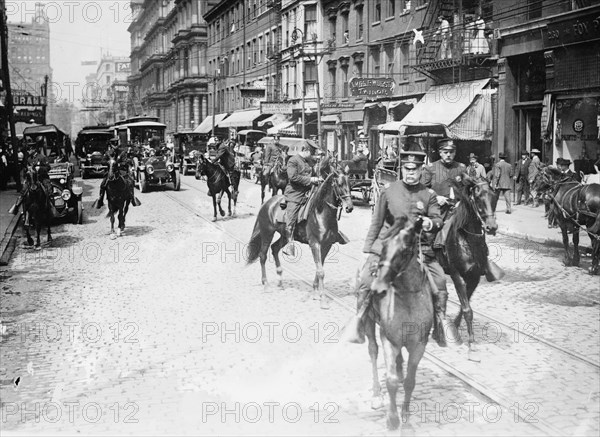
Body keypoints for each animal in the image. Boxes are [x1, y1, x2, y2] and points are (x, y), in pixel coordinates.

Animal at [246, 157, 354, 306]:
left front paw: (315, 293)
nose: (349, 207)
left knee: (274, 248)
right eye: (338, 184)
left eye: (350, 183)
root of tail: (267, 203)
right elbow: (321, 271)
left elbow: (319, 268)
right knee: (263, 255)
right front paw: (323, 300)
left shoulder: (326, 245)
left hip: (285, 236)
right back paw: (266, 285)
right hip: (267, 232)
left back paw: (280, 281)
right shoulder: (315, 244)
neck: (321, 213)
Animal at [366, 215, 436, 430]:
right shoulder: (388, 339)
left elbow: (410, 382)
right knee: (373, 351)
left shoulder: (419, 344)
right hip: (369, 322)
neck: (406, 298)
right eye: (383, 244)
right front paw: (392, 418)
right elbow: (391, 381)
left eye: (405, 250)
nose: (377, 288)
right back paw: (376, 395)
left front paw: (405, 416)